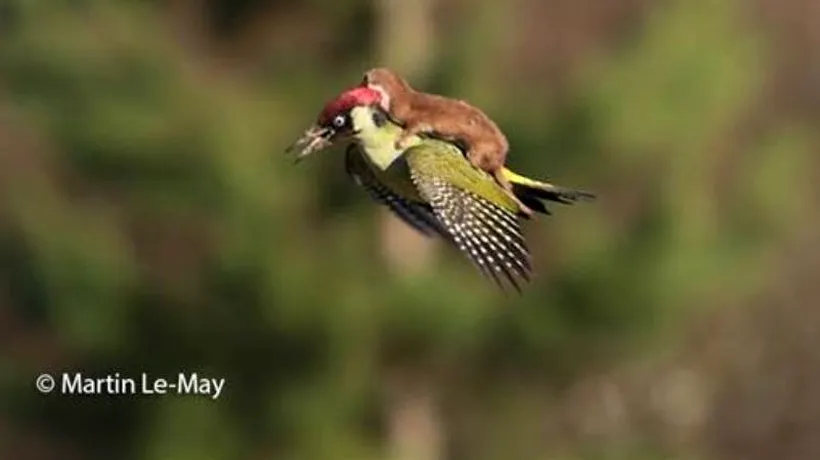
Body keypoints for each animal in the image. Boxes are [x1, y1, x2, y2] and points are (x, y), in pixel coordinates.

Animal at [362, 66, 536, 216]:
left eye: (367, 79)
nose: (364, 76)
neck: (400, 99)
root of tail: (500, 158)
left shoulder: (416, 117)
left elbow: (414, 127)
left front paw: (401, 141)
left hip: (479, 149)